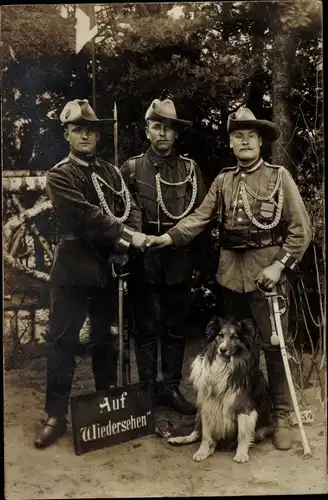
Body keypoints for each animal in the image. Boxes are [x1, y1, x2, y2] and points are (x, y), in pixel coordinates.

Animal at [168, 318, 272, 462]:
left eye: (234, 337)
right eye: (220, 335)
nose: (222, 349)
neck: (223, 364)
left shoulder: (244, 407)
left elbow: (242, 435)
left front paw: (241, 454)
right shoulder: (207, 405)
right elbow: (205, 436)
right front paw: (202, 452)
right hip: (199, 412)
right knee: (196, 433)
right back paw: (178, 439)